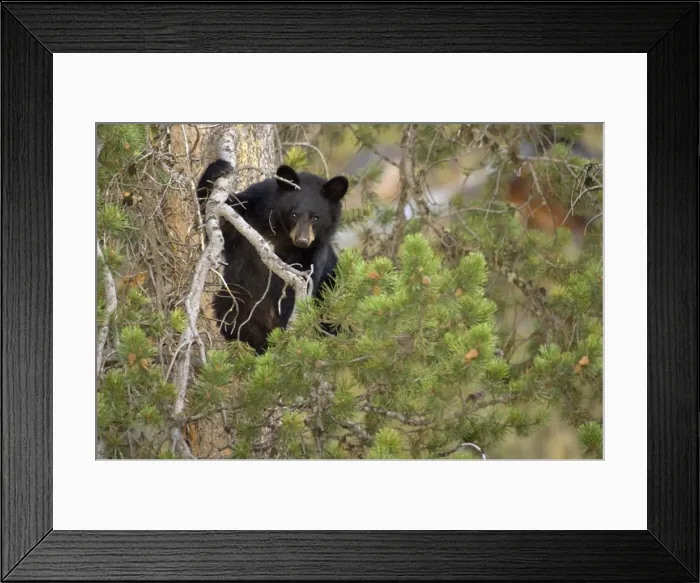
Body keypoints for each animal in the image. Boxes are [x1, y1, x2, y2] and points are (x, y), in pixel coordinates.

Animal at [196, 159, 348, 354]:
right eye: (294, 214)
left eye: (316, 217)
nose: (302, 241)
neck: (280, 233)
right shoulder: (247, 216)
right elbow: (215, 213)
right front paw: (219, 168)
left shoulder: (313, 255)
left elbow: (302, 286)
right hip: (238, 297)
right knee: (230, 311)